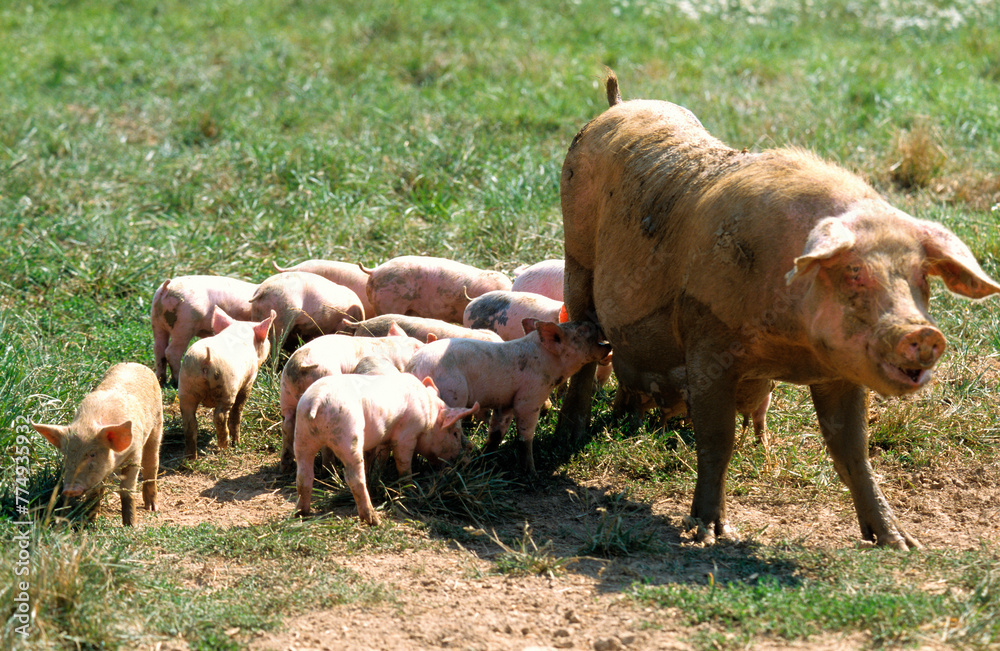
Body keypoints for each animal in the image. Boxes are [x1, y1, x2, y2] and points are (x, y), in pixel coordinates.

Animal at [32, 363, 163, 526]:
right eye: (67, 455)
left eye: (92, 454)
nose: (69, 489)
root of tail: (135, 364)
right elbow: (95, 491)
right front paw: (89, 521)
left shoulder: (135, 452)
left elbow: (127, 488)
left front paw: (131, 526)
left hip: (157, 423)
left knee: (152, 463)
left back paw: (152, 508)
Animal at [178, 307, 275, 460]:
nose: (270, 345)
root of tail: (206, 359)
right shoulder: (249, 380)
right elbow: (238, 408)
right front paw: (237, 443)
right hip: (226, 386)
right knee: (220, 415)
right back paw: (225, 446)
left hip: (186, 385)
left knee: (189, 421)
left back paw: (191, 457)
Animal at [293, 373, 479, 524]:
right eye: (455, 433)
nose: (462, 460)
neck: (429, 415)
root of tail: (318, 399)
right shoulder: (406, 434)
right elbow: (403, 462)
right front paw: (409, 487)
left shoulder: (384, 438)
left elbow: (381, 457)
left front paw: (378, 473)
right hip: (347, 433)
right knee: (354, 478)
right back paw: (373, 520)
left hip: (302, 433)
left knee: (303, 475)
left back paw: (301, 514)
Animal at [405, 319, 612, 475]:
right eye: (582, 330)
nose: (595, 321)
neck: (550, 363)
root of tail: (414, 367)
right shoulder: (530, 396)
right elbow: (525, 435)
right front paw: (532, 473)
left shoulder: (505, 403)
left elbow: (497, 432)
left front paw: (484, 459)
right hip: (452, 394)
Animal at [556, 70, 1000, 549]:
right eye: (854, 273)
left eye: (921, 279)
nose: (923, 333)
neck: (791, 346)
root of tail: (618, 105)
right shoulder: (707, 342)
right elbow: (717, 440)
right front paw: (709, 535)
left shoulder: (839, 371)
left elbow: (853, 451)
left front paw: (899, 543)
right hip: (576, 254)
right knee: (587, 346)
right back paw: (568, 440)